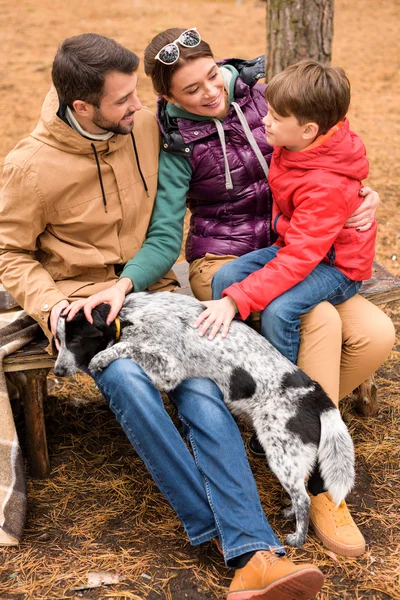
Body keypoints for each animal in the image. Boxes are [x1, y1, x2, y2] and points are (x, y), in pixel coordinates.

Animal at [54, 290, 356, 548]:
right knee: (300, 491)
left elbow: (128, 347)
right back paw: (290, 512)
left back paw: (298, 536)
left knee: (304, 498)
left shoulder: (169, 369)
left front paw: (103, 356)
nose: (57, 371)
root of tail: (316, 394)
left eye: (76, 341)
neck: (128, 317)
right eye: (58, 341)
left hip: (281, 451)